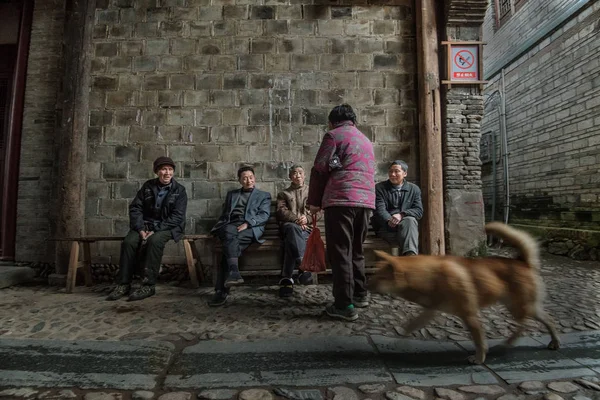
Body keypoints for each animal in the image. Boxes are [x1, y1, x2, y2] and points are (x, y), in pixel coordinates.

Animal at [368, 223, 560, 364]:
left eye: (379, 276)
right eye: (374, 274)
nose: (365, 285)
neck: (429, 276)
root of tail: (524, 262)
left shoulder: (469, 315)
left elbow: (479, 340)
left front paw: (479, 359)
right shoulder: (431, 309)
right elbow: (413, 325)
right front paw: (400, 339)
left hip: (518, 307)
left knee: (525, 326)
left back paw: (509, 343)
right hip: (521, 307)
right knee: (547, 320)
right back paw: (551, 342)